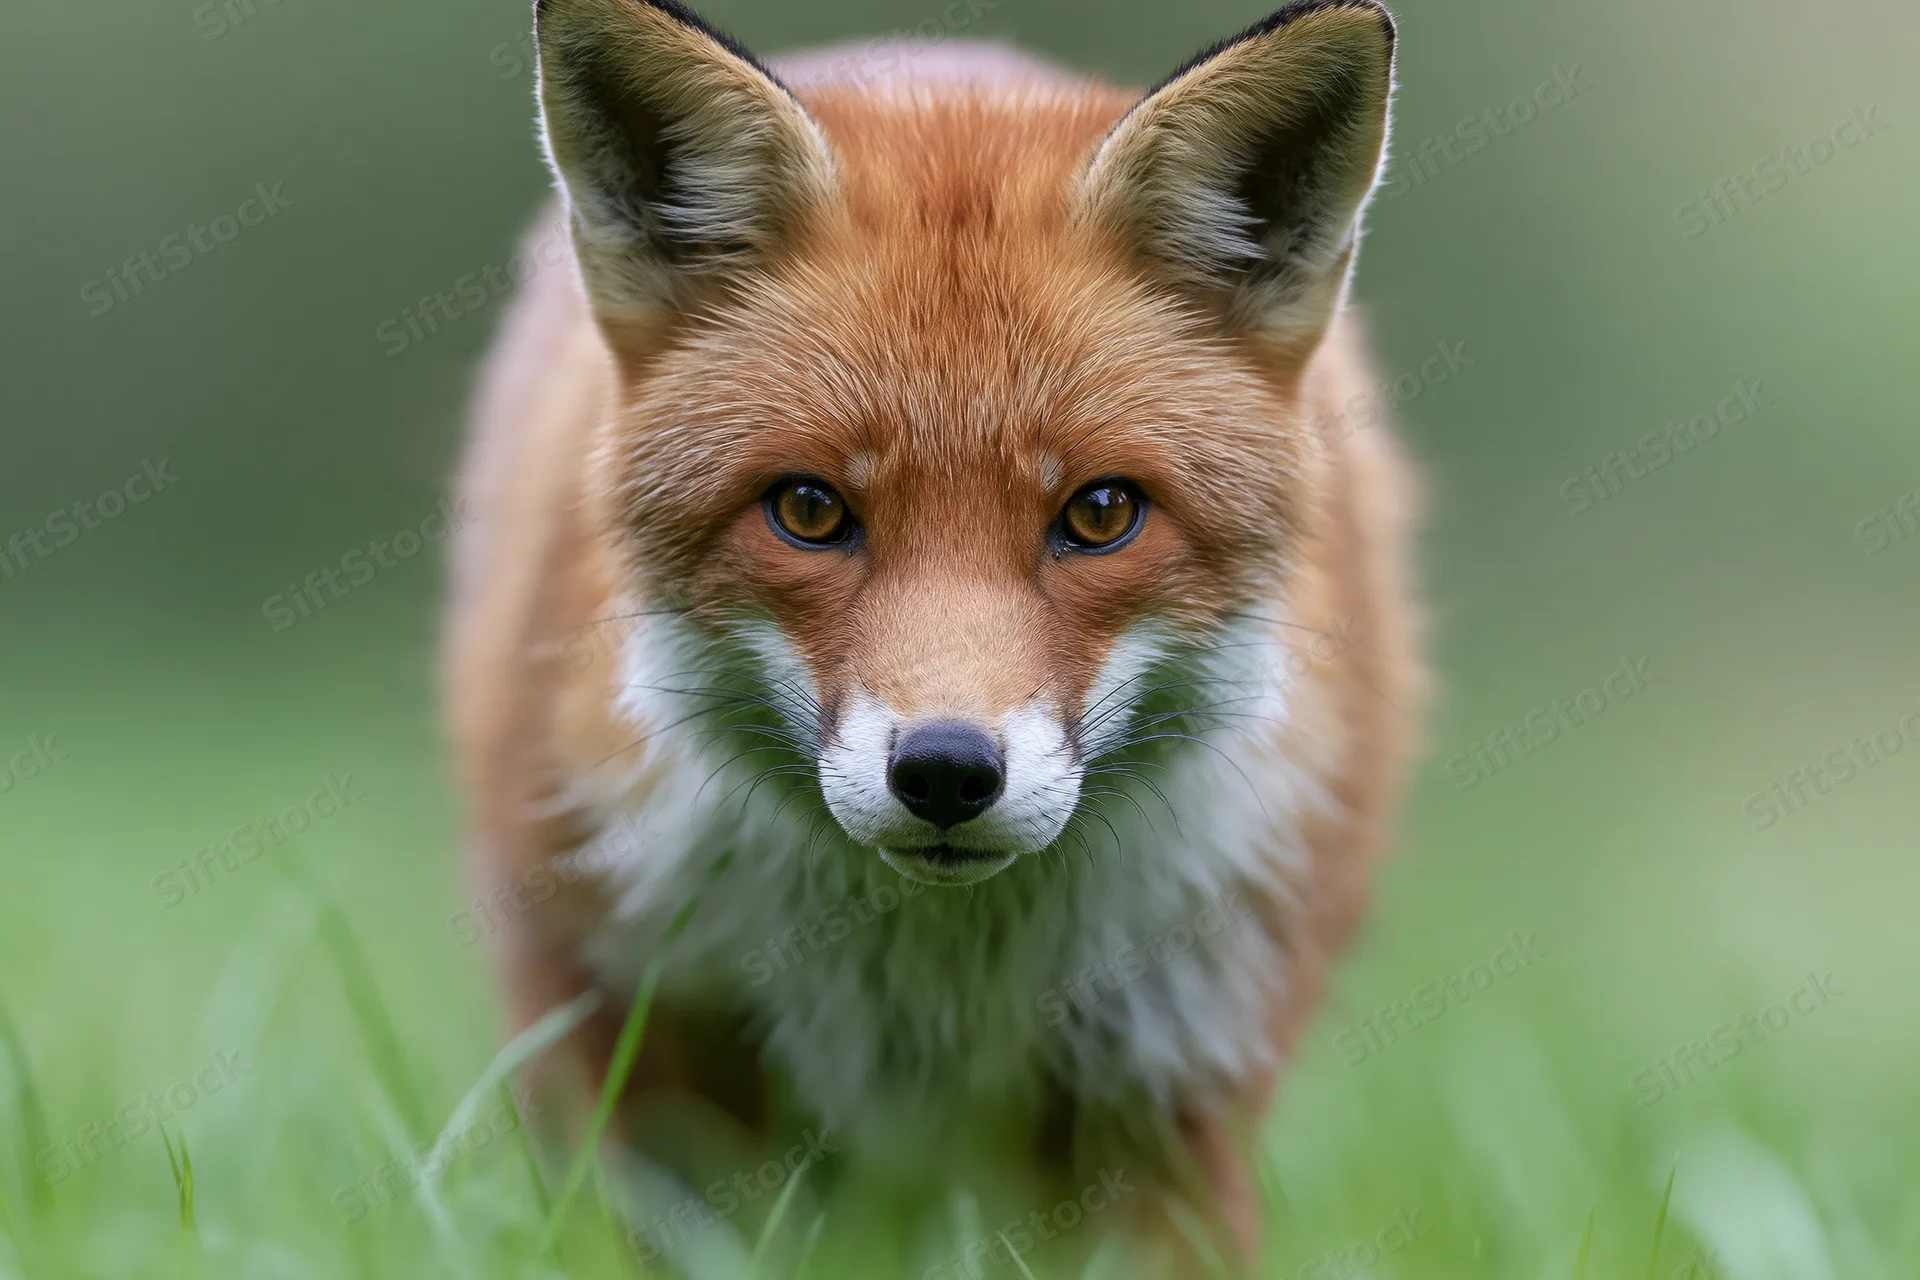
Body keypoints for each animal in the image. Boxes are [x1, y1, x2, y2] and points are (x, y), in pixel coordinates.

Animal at [446, 0, 1424, 1271]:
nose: (948, 771)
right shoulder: (642, 1054)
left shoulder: (1171, 1084)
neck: (932, 971)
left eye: (1100, 513)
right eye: (809, 509)